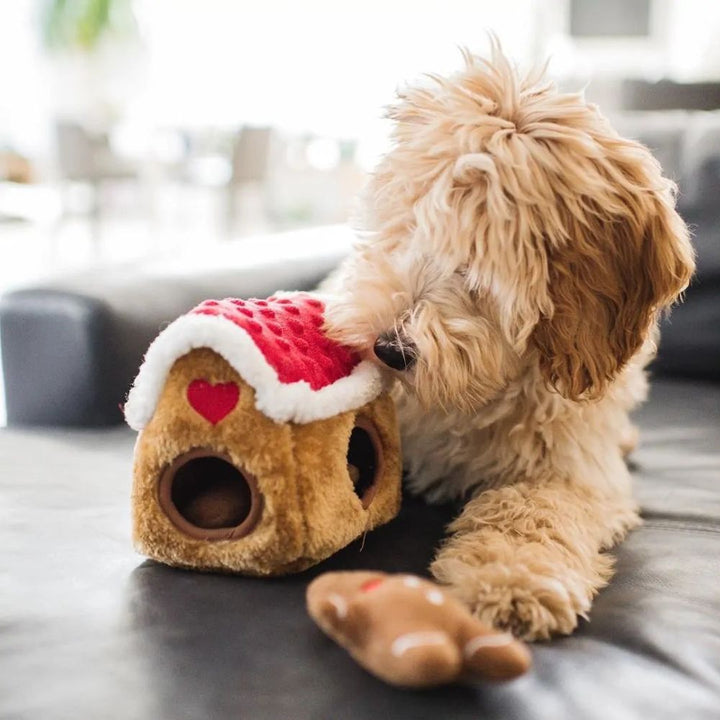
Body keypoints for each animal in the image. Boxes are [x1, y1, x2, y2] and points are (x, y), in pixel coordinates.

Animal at [324, 43, 692, 640]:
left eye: (479, 265)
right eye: (406, 228)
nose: (388, 349)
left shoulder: (570, 465)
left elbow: (532, 511)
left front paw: (512, 579)